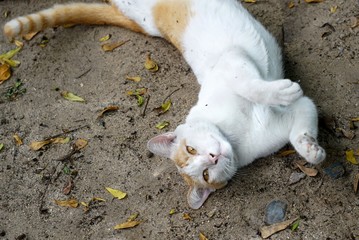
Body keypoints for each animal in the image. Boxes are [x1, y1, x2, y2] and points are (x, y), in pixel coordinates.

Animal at [4, 0, 328, 209]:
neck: (236, 134)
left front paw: (282, 92)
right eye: (204, 175)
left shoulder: (233, 62)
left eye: (190, 149)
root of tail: (139, 22)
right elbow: (301, 127)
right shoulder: (293, 114)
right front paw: (311, 150)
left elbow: (251, 85)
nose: (212, 157)